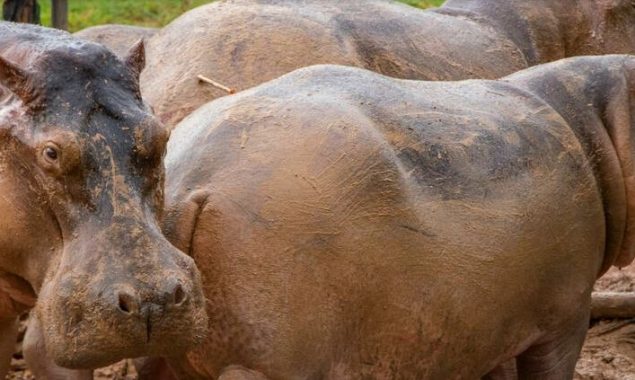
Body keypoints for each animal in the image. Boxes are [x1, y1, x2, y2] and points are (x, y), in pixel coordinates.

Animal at [152, 54, 635, 380]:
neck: (593, 122)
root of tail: (193, 183)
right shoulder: (567, 308)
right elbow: (551, 368)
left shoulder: (491, 326)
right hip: (267, 359)